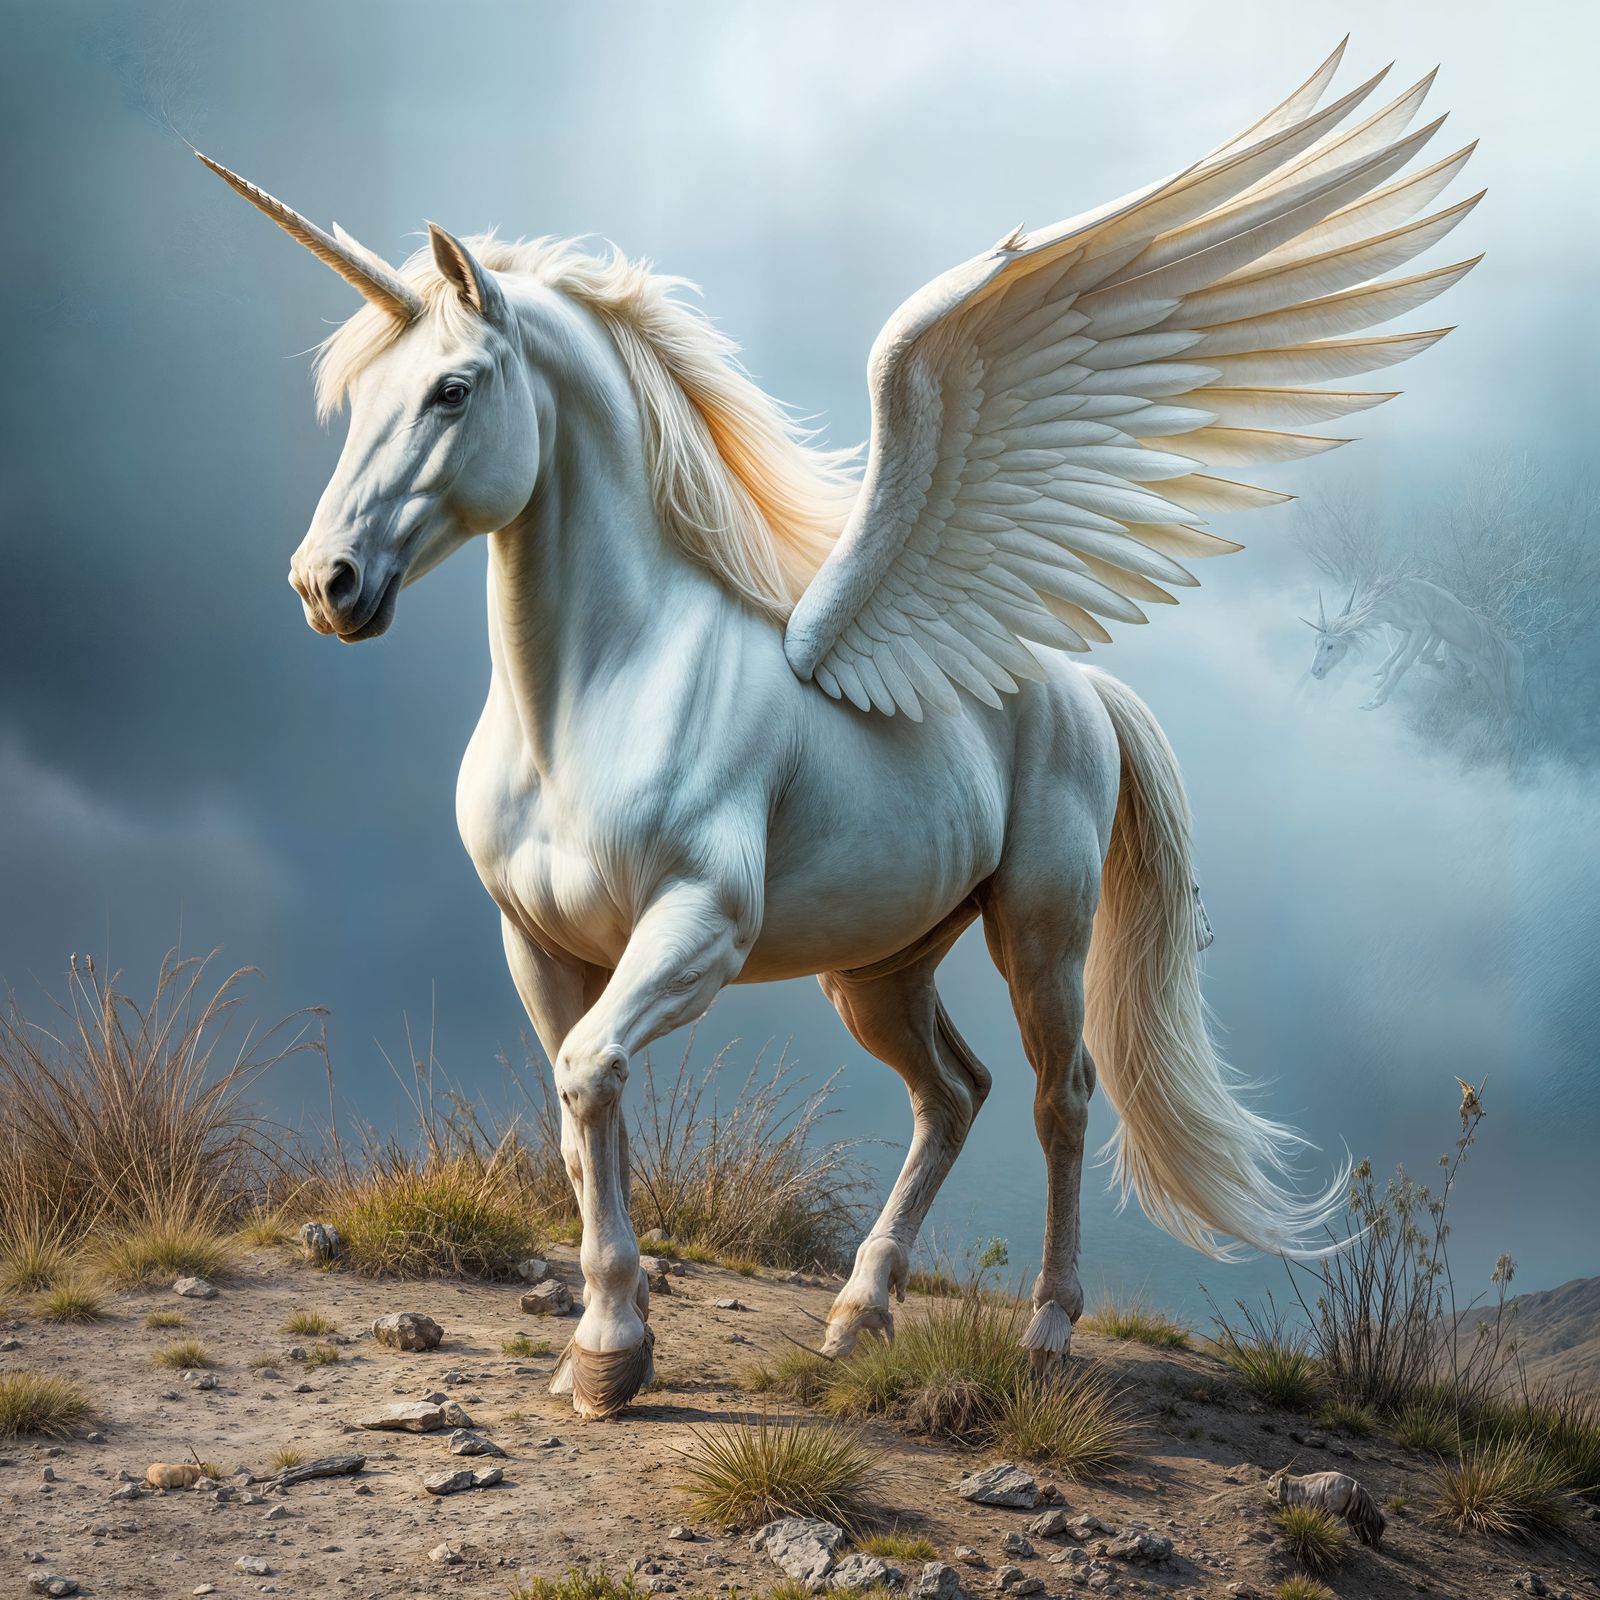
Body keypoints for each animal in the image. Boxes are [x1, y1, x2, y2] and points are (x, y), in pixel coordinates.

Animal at [197, 39, 1479, 1416]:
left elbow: (592, 1077)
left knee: (1058, 1095)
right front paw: (600, 1348)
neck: (593, 696)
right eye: (358, 400)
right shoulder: (537, 947)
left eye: (452, 388)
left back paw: (1044, 1331)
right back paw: (859, 1314)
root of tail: (1081, 688)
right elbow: (580, 1107)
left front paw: (612, 1352)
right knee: (953, 1094)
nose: (326, 585)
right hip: (880, 965)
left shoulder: (699, 929)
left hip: (1040, 925)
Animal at [1305, 575, 1523, 713]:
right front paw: (1380, 676)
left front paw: (1375, 702)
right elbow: (1404, 655)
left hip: (1493, 674)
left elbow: (1403, 663)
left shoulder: (1422, 628)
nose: (1315, 671)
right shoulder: (1415, 631)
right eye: (1316, 643)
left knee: (1504, 703)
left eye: (1330, 646)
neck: (1389, 599)